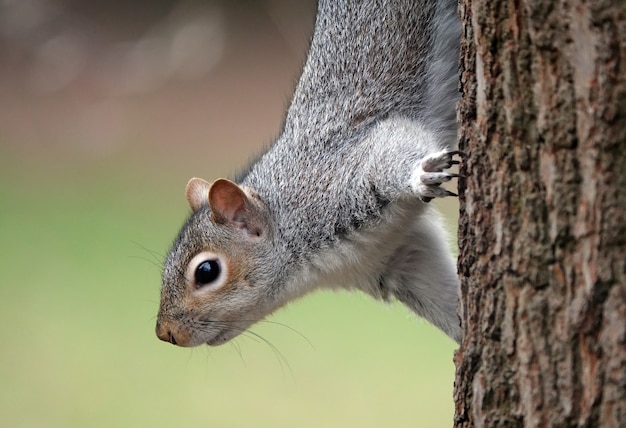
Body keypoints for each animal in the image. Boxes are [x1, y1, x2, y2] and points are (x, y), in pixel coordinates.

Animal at [154, 0, 460, 348]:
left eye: (206, 271)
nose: (166, 334)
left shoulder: (342, 176)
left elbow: (393, 147)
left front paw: (420, 176)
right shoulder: (396, 257)